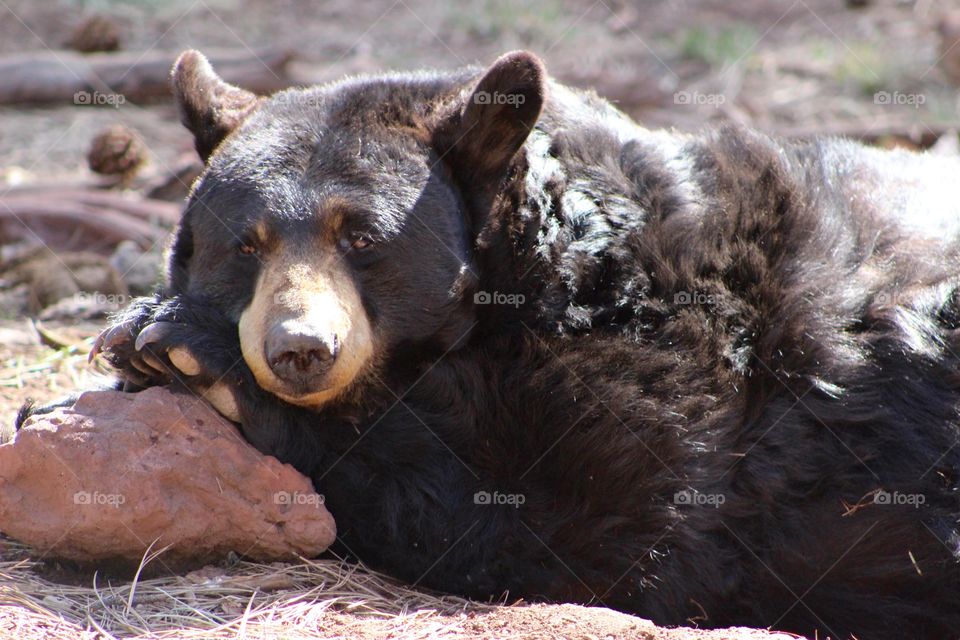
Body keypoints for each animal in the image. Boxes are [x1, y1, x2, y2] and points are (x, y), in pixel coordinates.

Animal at [25, 50, 960, 638]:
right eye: (245, 244)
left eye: (362, 238)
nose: (300, 350)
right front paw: (132, 340)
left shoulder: (687, 360)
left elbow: (585, 523)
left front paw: (186, 349)